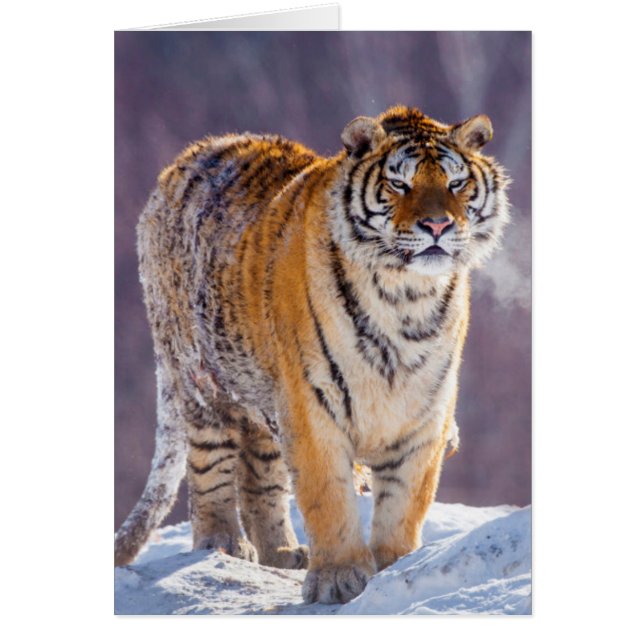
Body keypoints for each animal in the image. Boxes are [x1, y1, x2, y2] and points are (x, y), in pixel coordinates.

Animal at [114, 105, 510, 605]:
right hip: (202, 383)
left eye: (456, 184)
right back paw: (223, 545)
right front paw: (338, 579)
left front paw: (396, 566)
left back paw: (282, 552)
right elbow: (328, 495)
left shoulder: (423, 412)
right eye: (399, 184)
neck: (406, 297)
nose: (437, 226)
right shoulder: (311, 402)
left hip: (261, 393)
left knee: (260, 475)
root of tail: (183, 160)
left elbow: (405, 500)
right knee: (210, 467)